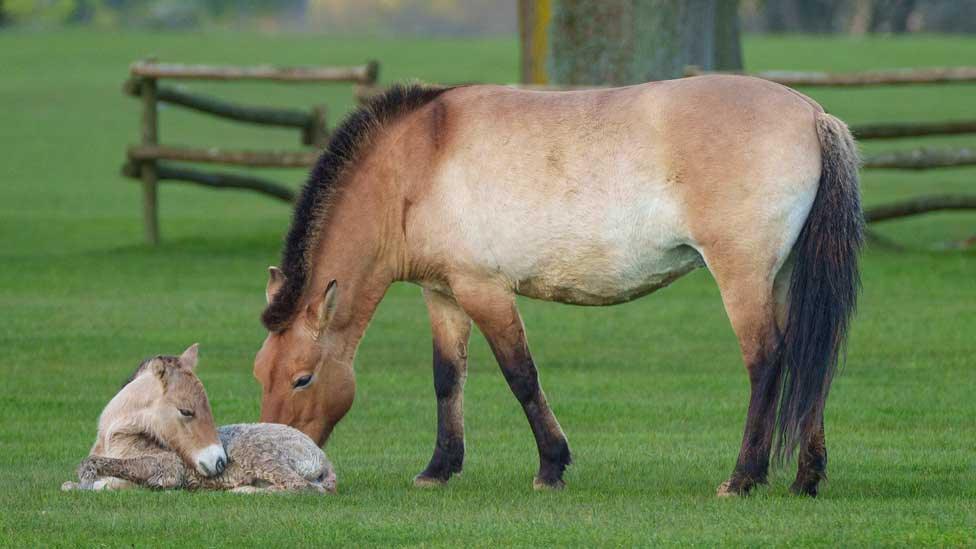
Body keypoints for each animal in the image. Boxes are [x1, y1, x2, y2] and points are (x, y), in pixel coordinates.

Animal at [63, 342, 336, 492]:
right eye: (186, 411)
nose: (220, 463)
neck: (114, 439)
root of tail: (321, 456)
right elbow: (72, 484)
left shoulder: (169, 466)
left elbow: (97, 471)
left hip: (259, 457)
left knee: (302, 486)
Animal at [252, 77, 860, 496]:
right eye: (261, 373)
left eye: (303, 378)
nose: (276, 459)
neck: (418, 161)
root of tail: (813, 115)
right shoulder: (443, 294)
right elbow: (448, 379)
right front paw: (439, 468)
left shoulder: (485, 290)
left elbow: (521, 375)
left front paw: (551, 466)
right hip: (781, 278)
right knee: (809, 359)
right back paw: (806, 478)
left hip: (742, 277)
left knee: (767, 363)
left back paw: (743, 478)